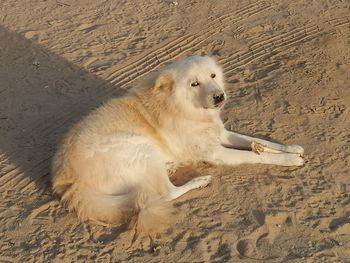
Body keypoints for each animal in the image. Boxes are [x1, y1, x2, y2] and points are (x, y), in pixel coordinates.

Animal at [51, 56, 304, 233]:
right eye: (194, 84)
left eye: (213, 75)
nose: (220, 96)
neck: (185, 108)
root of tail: (71, 184)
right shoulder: (217, 153)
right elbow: (256, 155)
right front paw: (290, 160)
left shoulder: (221, 134)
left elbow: (258, 142)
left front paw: (291, 149)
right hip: (143, 149)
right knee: (165, 193)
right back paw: (198, 181)